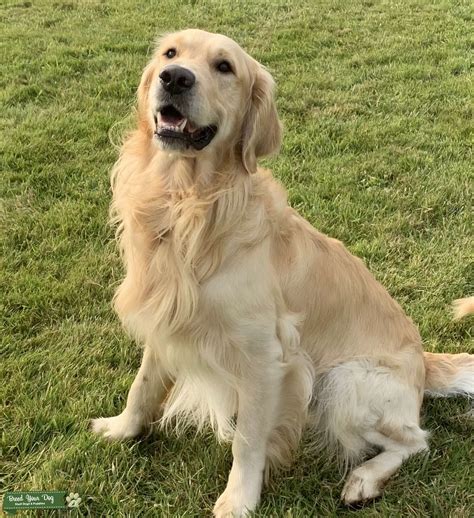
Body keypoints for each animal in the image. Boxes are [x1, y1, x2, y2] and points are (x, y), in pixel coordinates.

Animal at [90, 30, 472, 516]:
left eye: (224, 67)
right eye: (170, 53)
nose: (174, 78)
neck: (187, 204)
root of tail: (424, 364)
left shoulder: (265, 359)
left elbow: (249, 440)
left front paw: (238, 500)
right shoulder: (166, 319)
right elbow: (141, 387)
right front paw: (121, 428)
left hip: (342, 382)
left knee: (416, 441)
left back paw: (363, 479)